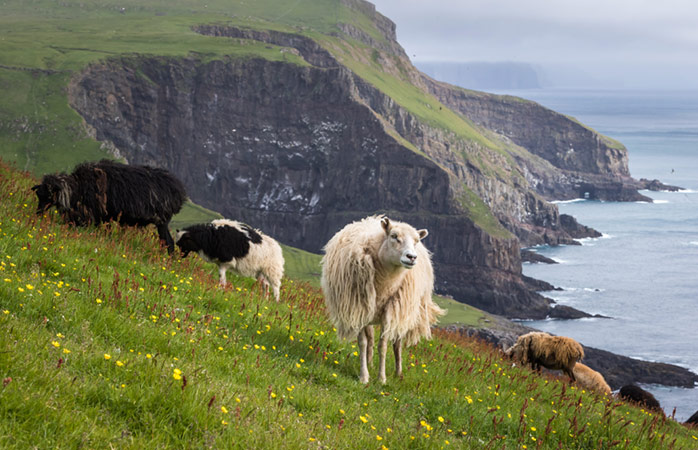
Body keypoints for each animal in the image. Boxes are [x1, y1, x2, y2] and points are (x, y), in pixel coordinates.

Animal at [31, 159, 186, 253]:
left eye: (49, 195)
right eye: (38, 194)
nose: (37, 213)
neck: (77, 188)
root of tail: (178, 190)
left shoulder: (100, 215)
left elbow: (106, 234)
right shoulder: (103, 217)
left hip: (162, 221)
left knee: (169, 243)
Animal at [320, 214, 444, 384]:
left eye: (416, 241)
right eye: (394, 236)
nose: (411, 257)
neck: (386, 282)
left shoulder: (390, 310)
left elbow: (383, 346)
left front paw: (382, 378)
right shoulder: (358, 307)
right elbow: (363, 343)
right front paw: (364, 376)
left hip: (401, 310)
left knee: (397, 343)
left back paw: (398, 373)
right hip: (369, 310)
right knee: (370, 339)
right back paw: (370, 363)